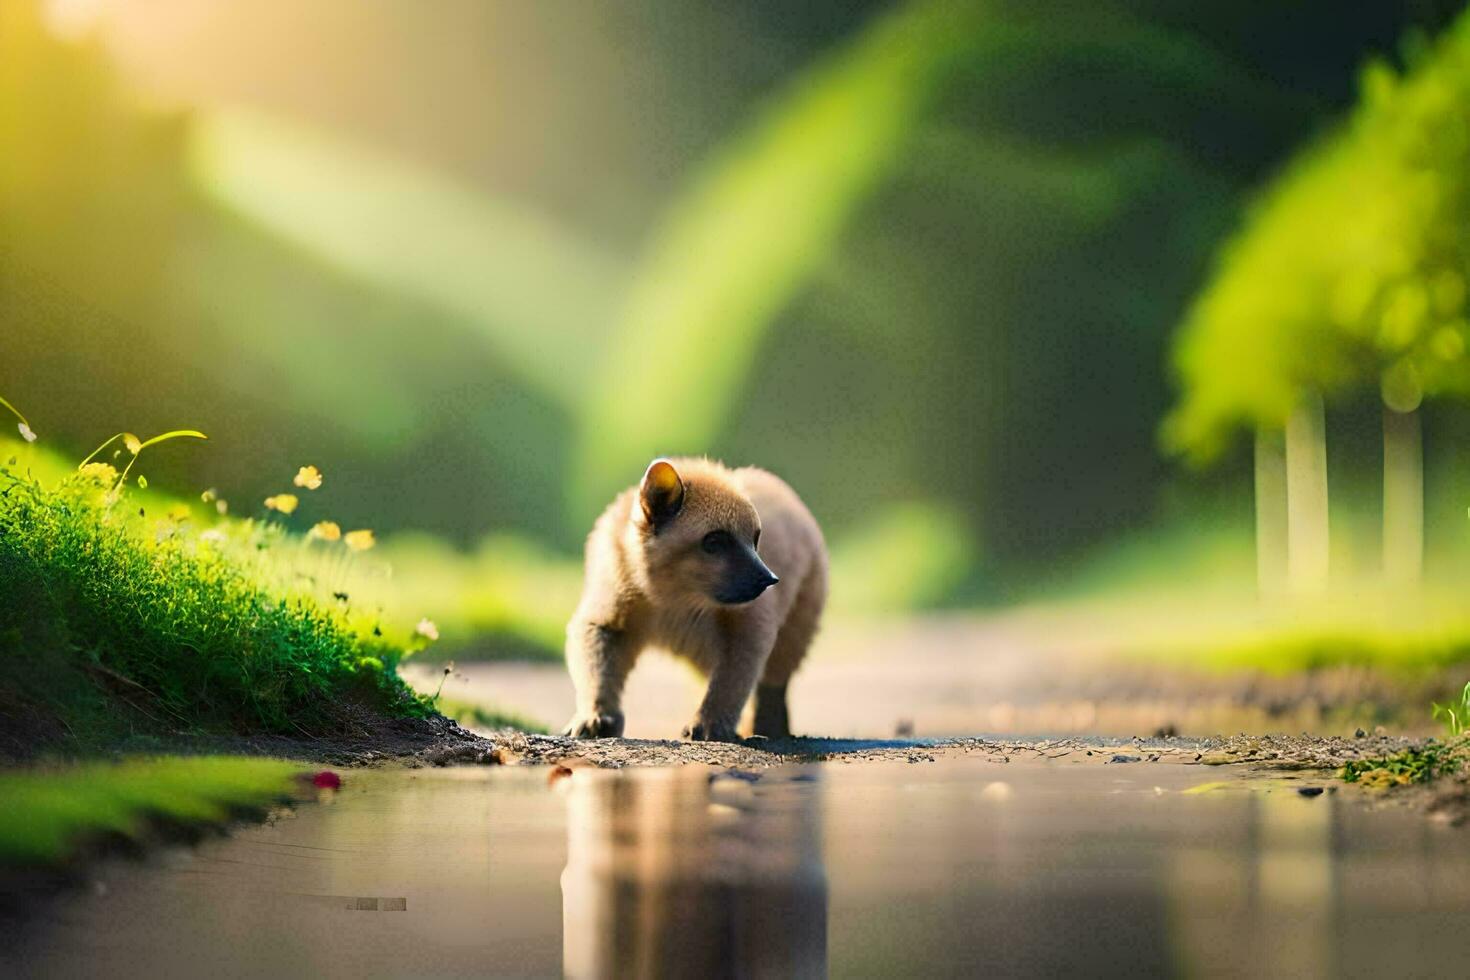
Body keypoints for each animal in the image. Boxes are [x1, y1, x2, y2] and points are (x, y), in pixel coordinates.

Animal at [561, 461, 829, 743]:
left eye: (756, 538)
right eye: (714, 540)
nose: (770, 579)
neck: (675, 601)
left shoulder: (749, 623)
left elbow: (732, 679)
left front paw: (709, 725)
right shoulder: (610, 614)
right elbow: (597, 667)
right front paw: (594, 719)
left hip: (797, 625)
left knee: (774, 683)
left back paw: (768, 728)